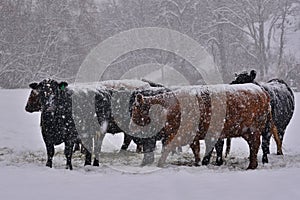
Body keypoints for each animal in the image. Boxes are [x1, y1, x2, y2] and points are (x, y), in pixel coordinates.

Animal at [24, 70, 296, 170]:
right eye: (38, 92)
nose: (28, 107)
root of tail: (260, 91)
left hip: (256, 131)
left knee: (257, 146)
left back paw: (253, 164)